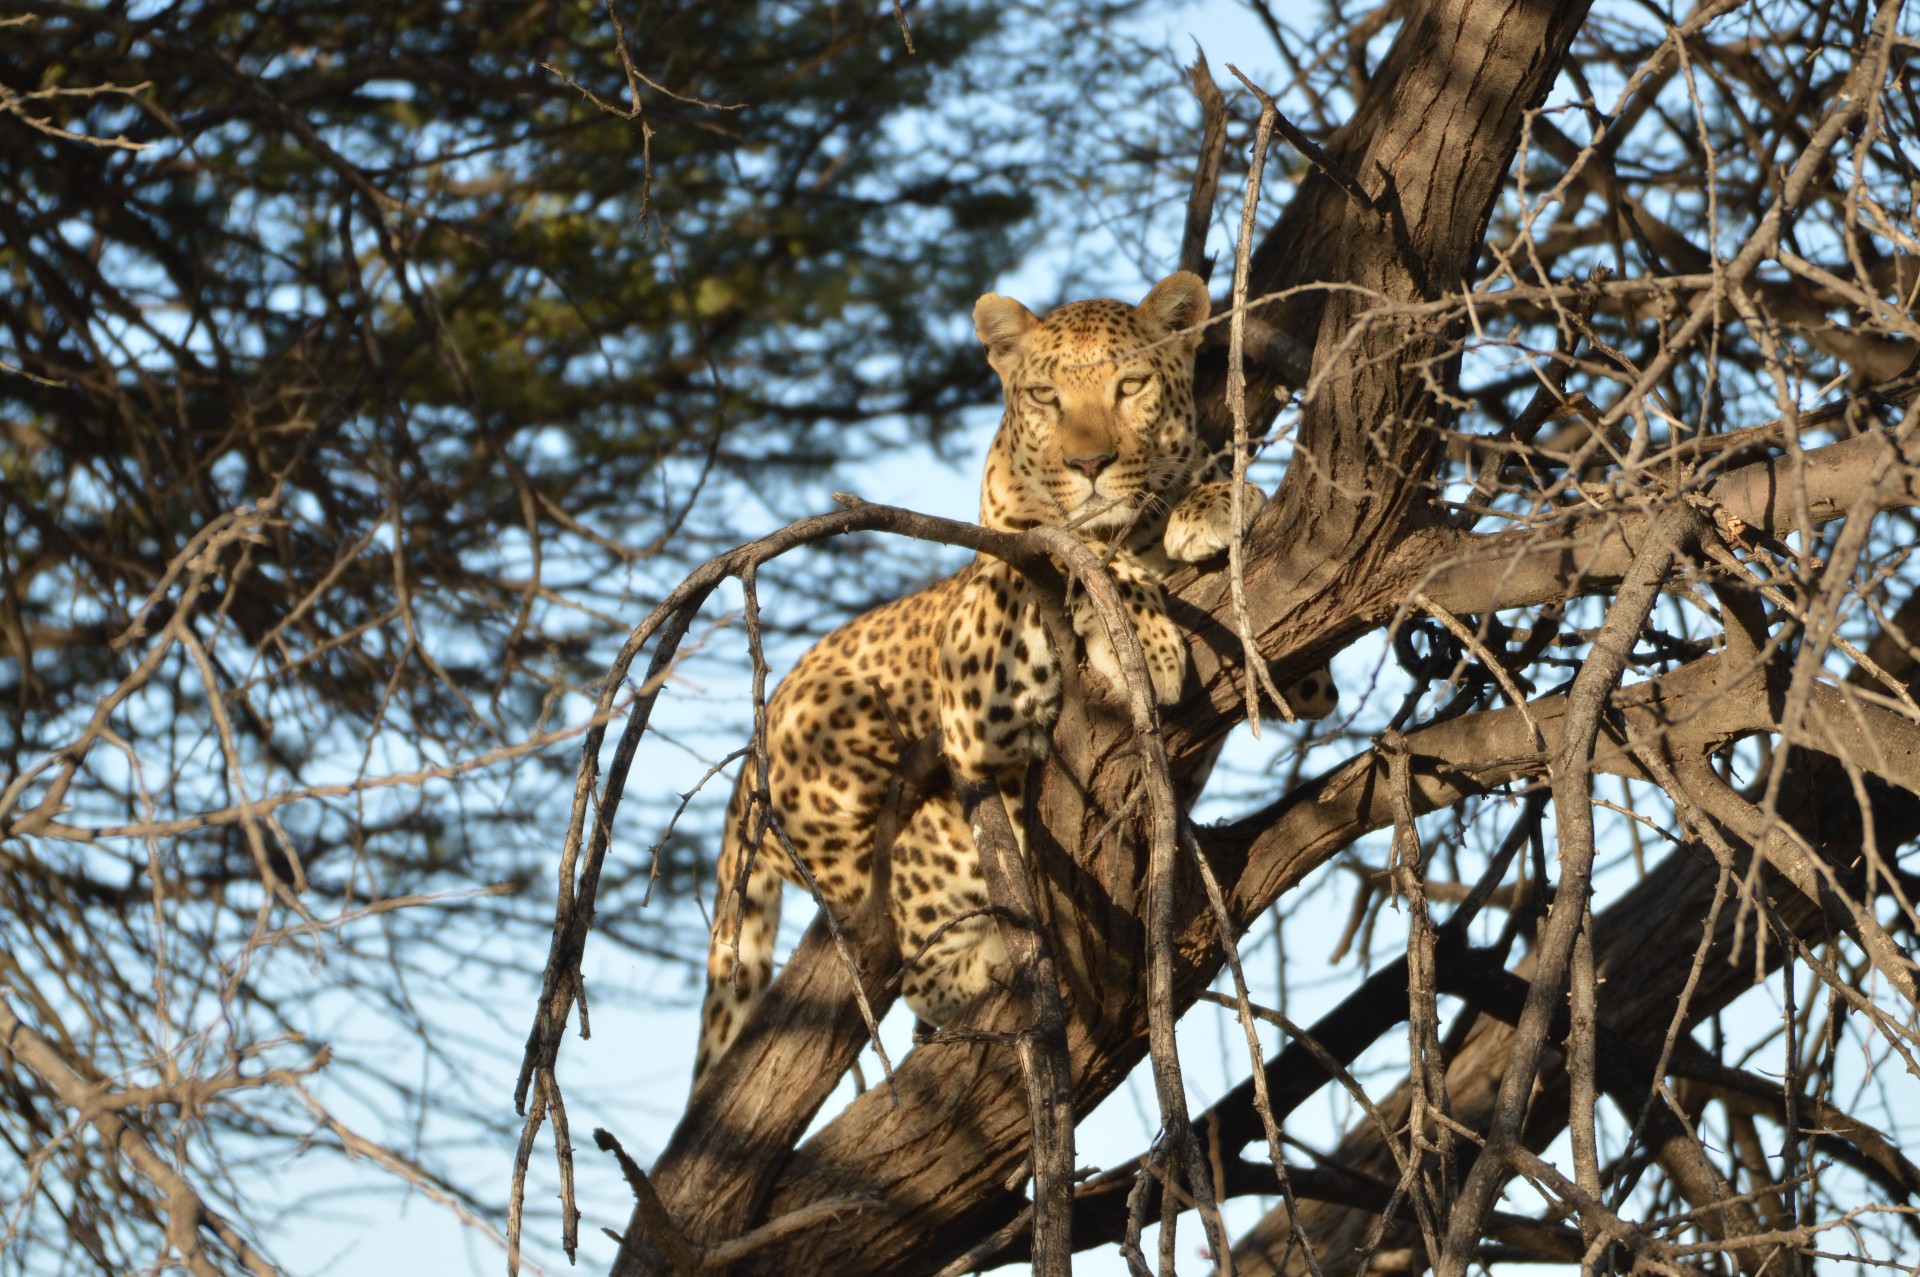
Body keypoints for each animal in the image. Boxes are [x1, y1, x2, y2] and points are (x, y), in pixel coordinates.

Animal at [691, 270, 1336, 1083]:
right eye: (1045, 397)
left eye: (1130, 386)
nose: (1089, 465)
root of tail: (749, 768)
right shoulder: (981, 663)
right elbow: (1064, 549)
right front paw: (1145, 638)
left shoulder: (1308, 679)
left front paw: (1217, 498)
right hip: (870, 770)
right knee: (916, 951)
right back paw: (979, 962)